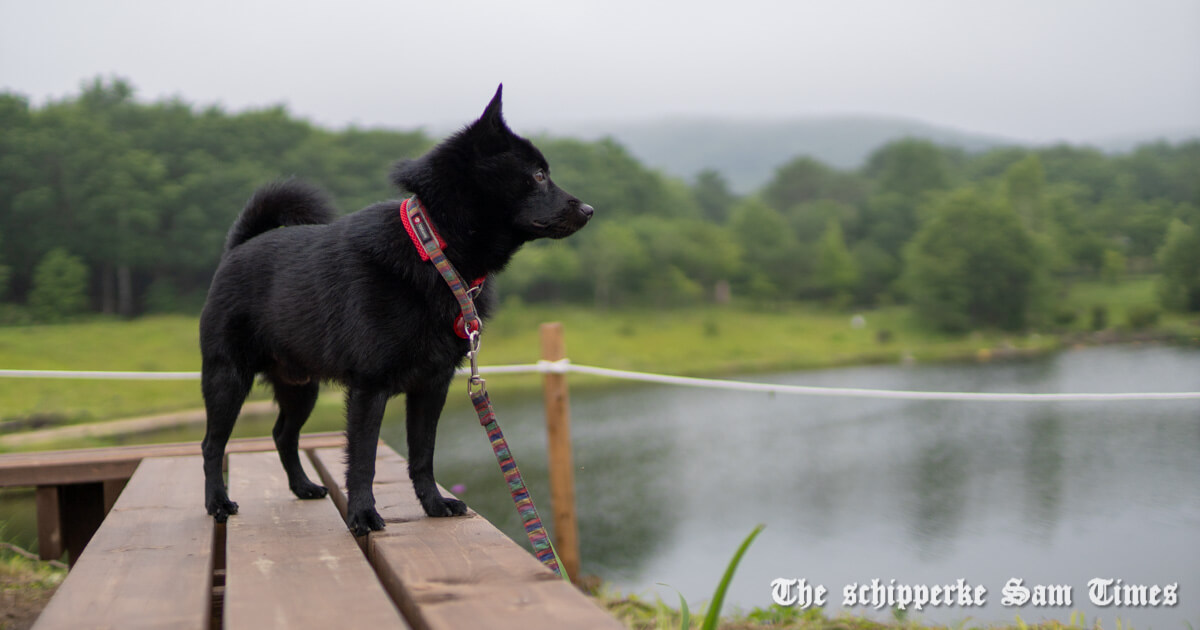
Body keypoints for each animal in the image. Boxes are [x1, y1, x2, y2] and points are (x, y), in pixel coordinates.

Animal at [199, 85, 592, 532]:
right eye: (539, 175)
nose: (589, 210)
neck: (434, 250)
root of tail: (238, 247)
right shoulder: (370, 387)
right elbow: (363, 459)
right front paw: (363, 514)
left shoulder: (432, 385)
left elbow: (423, 455)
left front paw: (434, 504)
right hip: (227, 377)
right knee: (212, 444)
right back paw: (217, 502)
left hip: (301, 386)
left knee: (283, 433)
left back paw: (303, 487)